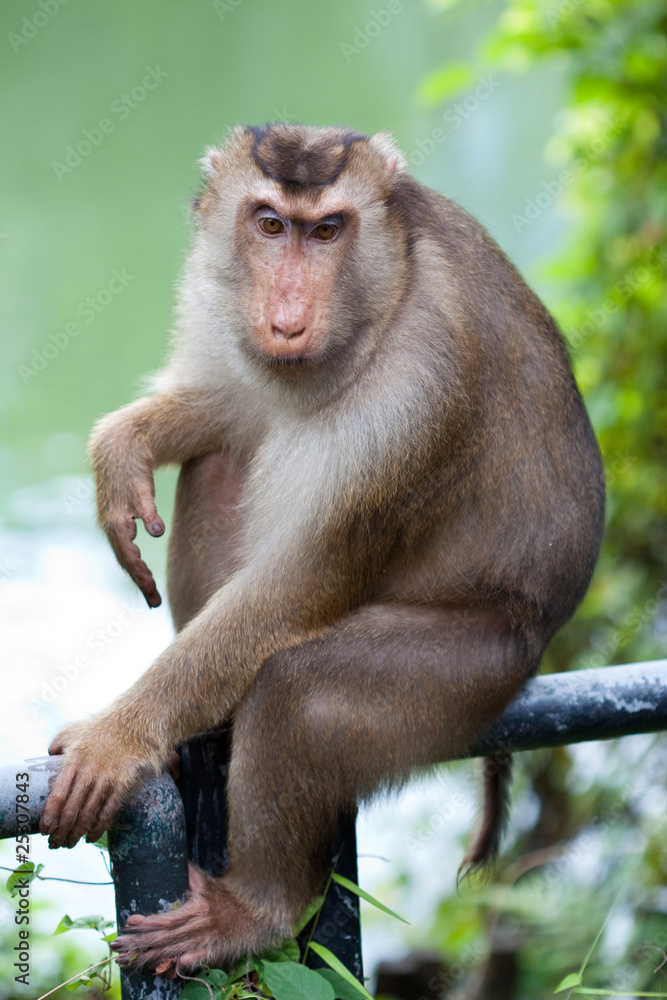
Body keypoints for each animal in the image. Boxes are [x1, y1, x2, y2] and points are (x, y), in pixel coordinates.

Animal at [39, 124, 605, 972]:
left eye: (329, 230)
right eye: (271, 224)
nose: (287, 316)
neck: (388, 287)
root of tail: (542, 640)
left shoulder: (414, 391)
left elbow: (299, 585)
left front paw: (120, 737)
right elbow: (233, 405)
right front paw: (124, 443)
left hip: (477, 665)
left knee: (300, 693)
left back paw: (257, 911)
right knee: (222, 459)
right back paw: (200, 742)